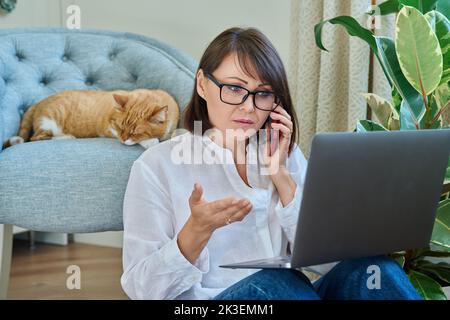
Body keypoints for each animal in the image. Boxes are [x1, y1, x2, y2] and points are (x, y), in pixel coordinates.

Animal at [3, 88, 180, 149]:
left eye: (135, 132)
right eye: (120, 127)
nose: (123, 140)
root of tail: (39, 101)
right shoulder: (108, 129)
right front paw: (150, 141)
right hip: (49, 122)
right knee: (36, 138)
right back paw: (67, 137)